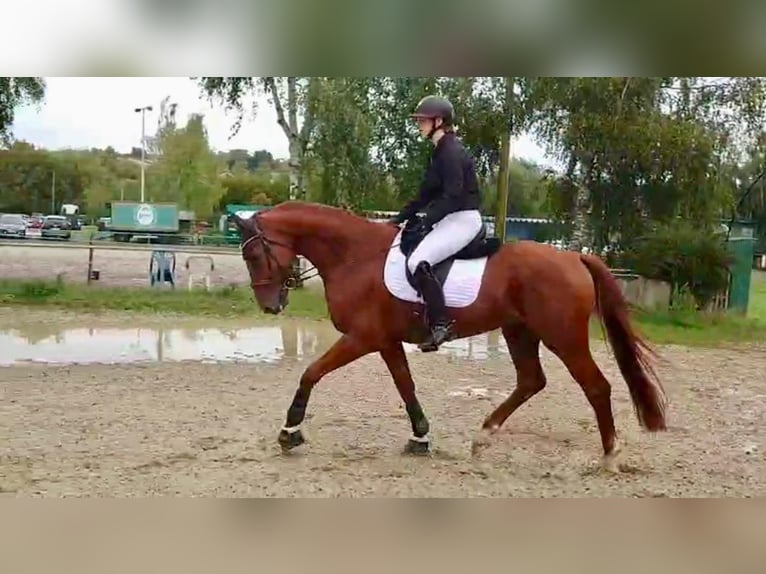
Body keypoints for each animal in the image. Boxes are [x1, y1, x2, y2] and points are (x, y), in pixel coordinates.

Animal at [232, 200, 667, 472]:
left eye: (252, 255)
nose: (270, 306)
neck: (354, 256)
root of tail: (573, 256)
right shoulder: (385, 341)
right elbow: (405, 386)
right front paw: (420, 439)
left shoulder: (362, 338)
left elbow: (311, 372)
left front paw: (290, 432)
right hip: (519, 331)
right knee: (531, 381)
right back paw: (483, 437)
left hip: (563, 336)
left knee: (596, 386)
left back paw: (609, 457)